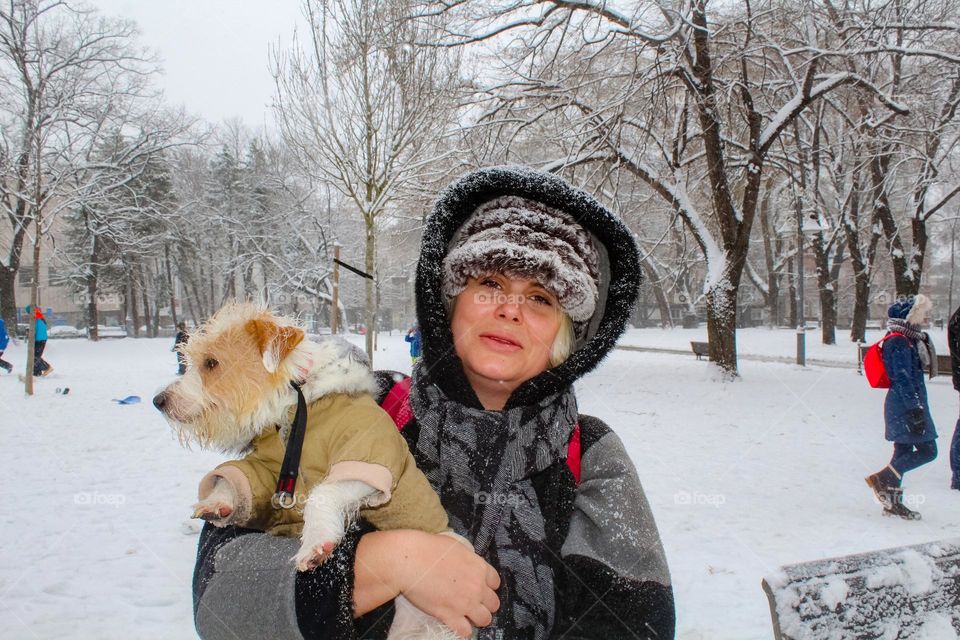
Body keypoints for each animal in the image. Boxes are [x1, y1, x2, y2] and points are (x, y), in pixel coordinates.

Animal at [157, 302, 468, 636]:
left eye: (212, 363)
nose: (157, 401)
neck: (295, 404)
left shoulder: (368, 458)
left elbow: (322, 493)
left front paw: (316, 543)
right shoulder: (267, 468)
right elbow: (237, 478)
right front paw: (217, 502)